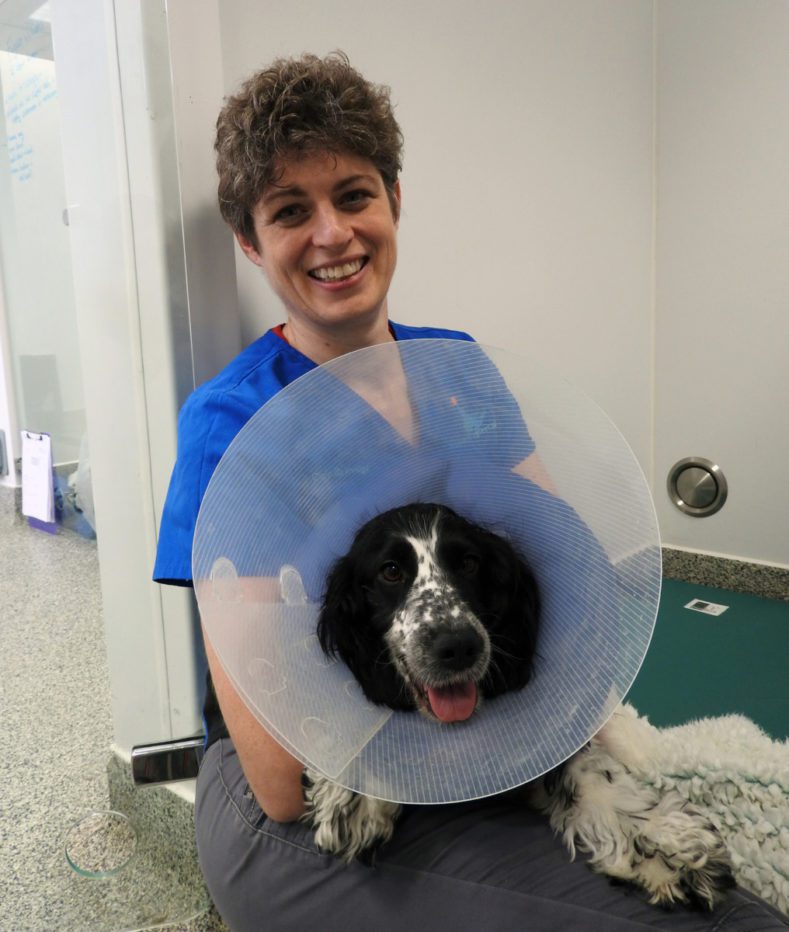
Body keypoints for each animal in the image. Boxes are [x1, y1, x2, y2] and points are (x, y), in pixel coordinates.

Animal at [304, 502, 736, 912]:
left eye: (469, 563)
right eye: (391, 571)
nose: (458, 645)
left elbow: (595, 778)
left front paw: (664, 846)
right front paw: (352, 796)